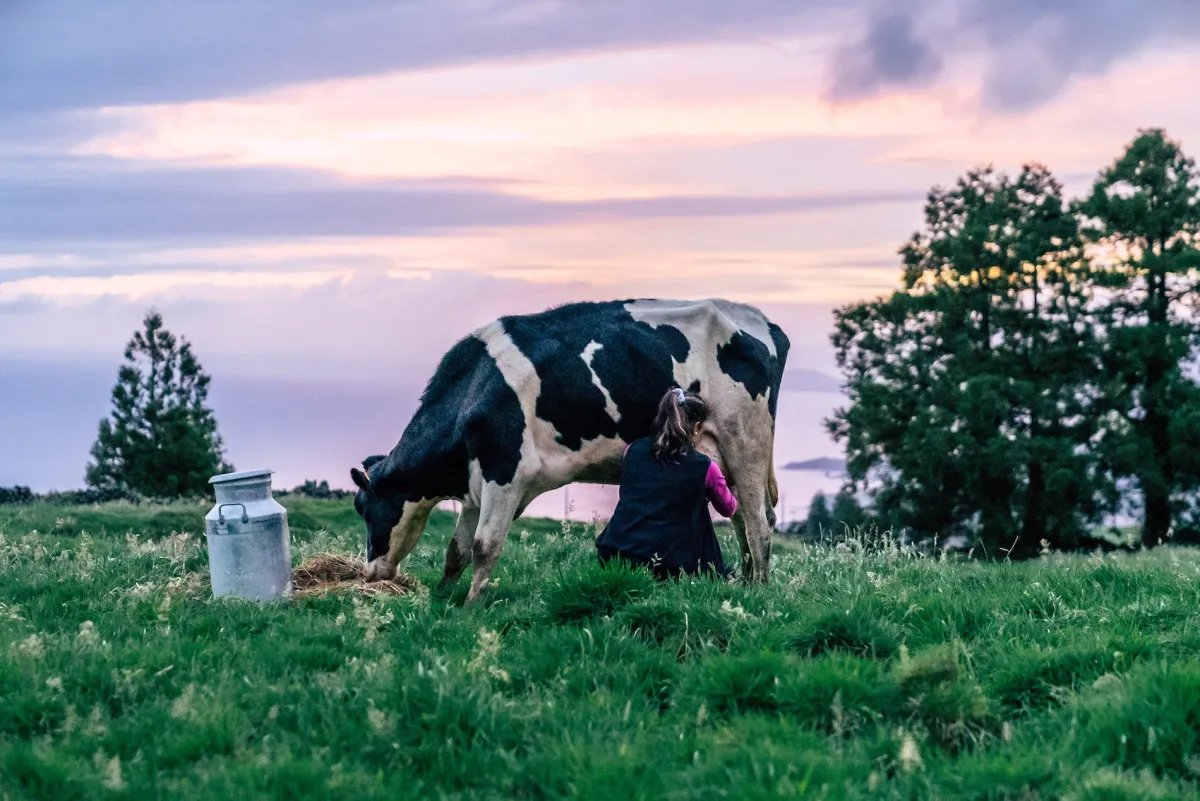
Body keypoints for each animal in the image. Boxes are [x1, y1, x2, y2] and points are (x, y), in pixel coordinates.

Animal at [350, 297, 792, 604]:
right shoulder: (478, 483)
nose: (371, 572)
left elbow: (484, 546)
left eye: (365, 508)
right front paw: (441, 598)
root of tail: (762, 322)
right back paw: (744, 583)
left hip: (746, 444)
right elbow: (455, 551)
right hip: (726, 455)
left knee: (759, 523)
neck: (476, 389)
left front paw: (471, 606)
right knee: (741, 519)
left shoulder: (507, 473)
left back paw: (759, 591)